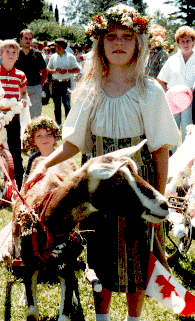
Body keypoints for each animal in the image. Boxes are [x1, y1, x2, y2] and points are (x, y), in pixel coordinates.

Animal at [12, 139, 168, 318]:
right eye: (117, 183)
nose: (164, 205)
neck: (47, 225)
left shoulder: (66, 267)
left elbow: (64, 312)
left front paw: (71, 300)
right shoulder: (30, 266)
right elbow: (32, 312)